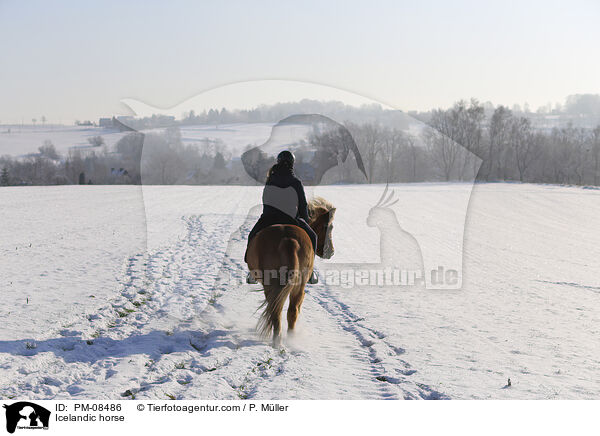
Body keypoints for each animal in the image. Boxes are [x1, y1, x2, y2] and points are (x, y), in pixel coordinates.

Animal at [245, 197, 338, 344]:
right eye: (328, 226)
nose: (331, 252)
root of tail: (288, 240)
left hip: (274, 284)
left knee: (278, 309)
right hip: (296, 283)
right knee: (289, 309)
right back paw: (286, 338)